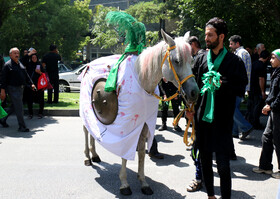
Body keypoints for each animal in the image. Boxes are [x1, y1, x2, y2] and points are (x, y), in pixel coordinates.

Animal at [81, 29, 199, 196]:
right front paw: (124, 184)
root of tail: (88, 64)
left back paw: (95, 155)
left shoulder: (144, 125)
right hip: (86, 110)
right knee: (86, 130)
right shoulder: (126, 129)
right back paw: (88, 157)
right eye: (176, 61)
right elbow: (125, 154)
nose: (194, 92)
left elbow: (142, 153)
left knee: (92, 132)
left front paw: (143, 182)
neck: (142, 80)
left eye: (192, 60)